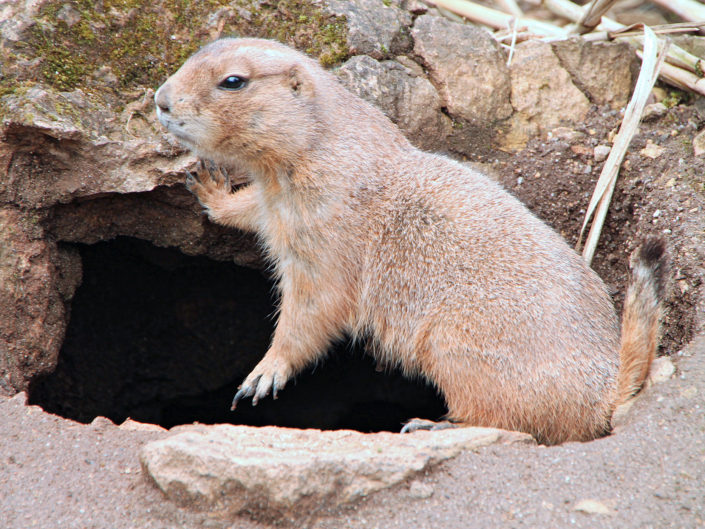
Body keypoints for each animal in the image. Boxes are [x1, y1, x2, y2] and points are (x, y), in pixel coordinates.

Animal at [154, 38, 667, 444]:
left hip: (454, 348)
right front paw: (210, 187)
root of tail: (604, 391)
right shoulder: (275, 203)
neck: (301, 158)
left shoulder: (325, 232)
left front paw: (264, 373)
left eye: (233, 81)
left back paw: (434, 423)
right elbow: (252, 211)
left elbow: (315, 305)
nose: (159, 99)